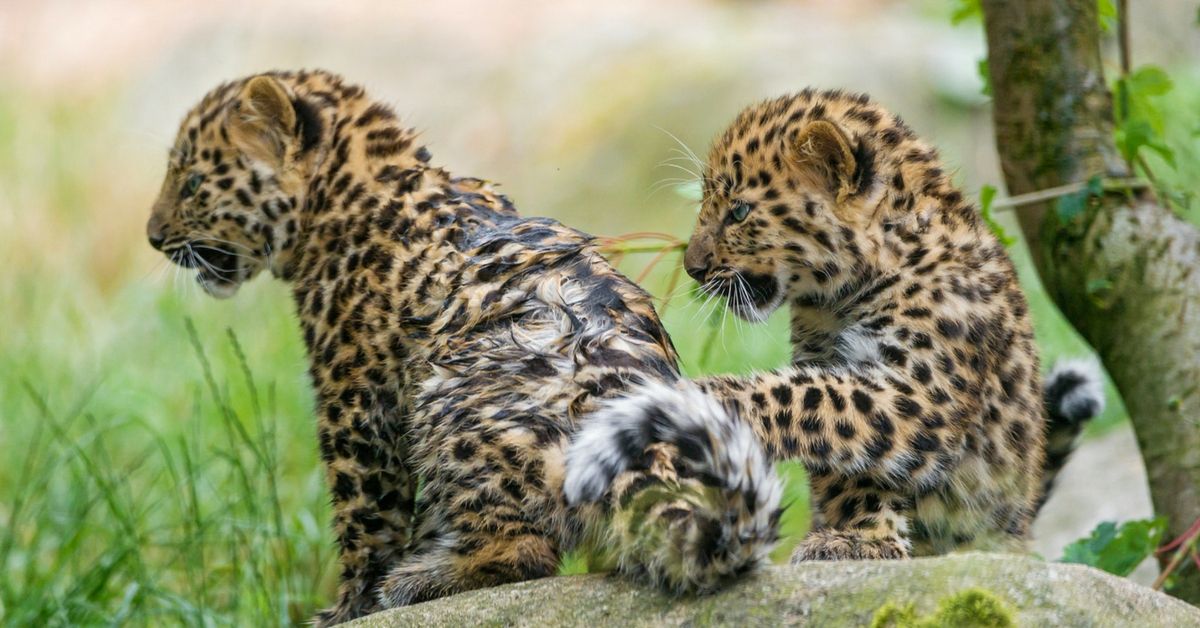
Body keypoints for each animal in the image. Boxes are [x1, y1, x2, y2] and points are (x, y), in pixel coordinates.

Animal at [145, 70, 782, 626]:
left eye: (192, 182)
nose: (153, 238)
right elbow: (421, 510)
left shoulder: (356, 397)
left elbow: (364, 511)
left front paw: (349, 606)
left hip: (452, 396)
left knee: (527, 552)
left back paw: (421, 580)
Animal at [593, 88, 1106, 563]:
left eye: (738, 211)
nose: (693, 268)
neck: (845, 292)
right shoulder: (830, 362)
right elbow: (838, 451)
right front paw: (859, 536)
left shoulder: (922, 391)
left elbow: (801, 397)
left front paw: (696, 400)